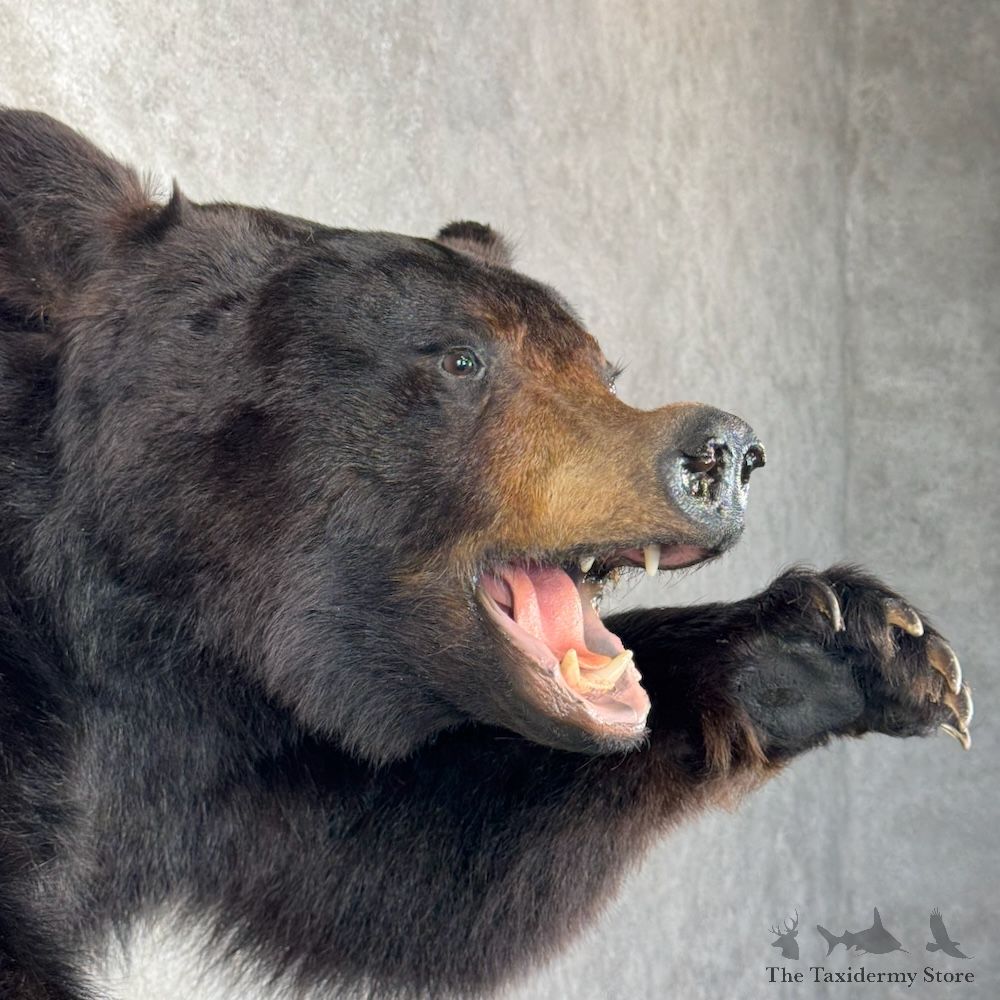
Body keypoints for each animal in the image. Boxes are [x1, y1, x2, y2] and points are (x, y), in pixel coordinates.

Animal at [0, 109, 972, 1000]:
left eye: (598, 368)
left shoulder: (255, 762)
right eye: (462, 358)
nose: (722, 452)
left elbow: (405, 865)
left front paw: (853, 641)